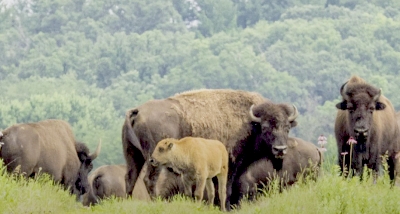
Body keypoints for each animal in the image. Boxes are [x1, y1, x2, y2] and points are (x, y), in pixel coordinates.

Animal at [123, 88, 298, 209]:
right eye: (266, 128)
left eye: (287, 128)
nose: (280, 149)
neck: (250, 123)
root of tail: (137, 111)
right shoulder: (230, 166)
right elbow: (225, 189)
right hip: (154, 159)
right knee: (149, 180)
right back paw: (157, 203)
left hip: (133, 155)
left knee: (130, 179)